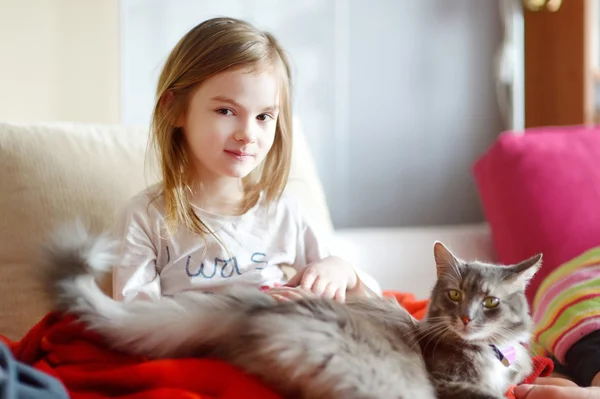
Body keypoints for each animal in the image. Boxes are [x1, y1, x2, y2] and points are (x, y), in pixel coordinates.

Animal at [39, 225, 540, 399]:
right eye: (454, 295)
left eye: (490, 302)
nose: (466, 319)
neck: (492, 353)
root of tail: (254, 308)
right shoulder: (454, 387)